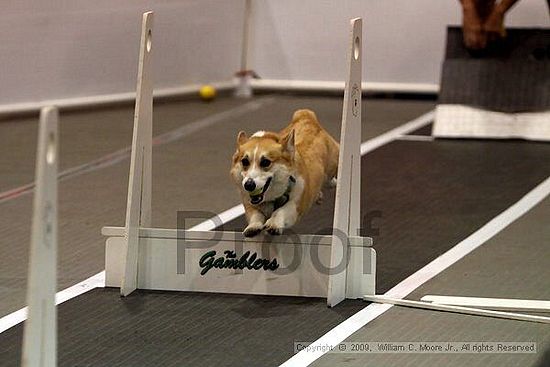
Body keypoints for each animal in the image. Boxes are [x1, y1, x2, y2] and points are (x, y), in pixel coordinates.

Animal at [230, 109, 340, 237]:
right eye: (244, 161)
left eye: (265, 162)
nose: (249, 185)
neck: (271, 198)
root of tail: (305, 115)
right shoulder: (250, 204)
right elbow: (255, 216)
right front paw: (253, 227)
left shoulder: (295, 204)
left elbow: (281, 211)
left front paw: (273, 224)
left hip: (333, 163)